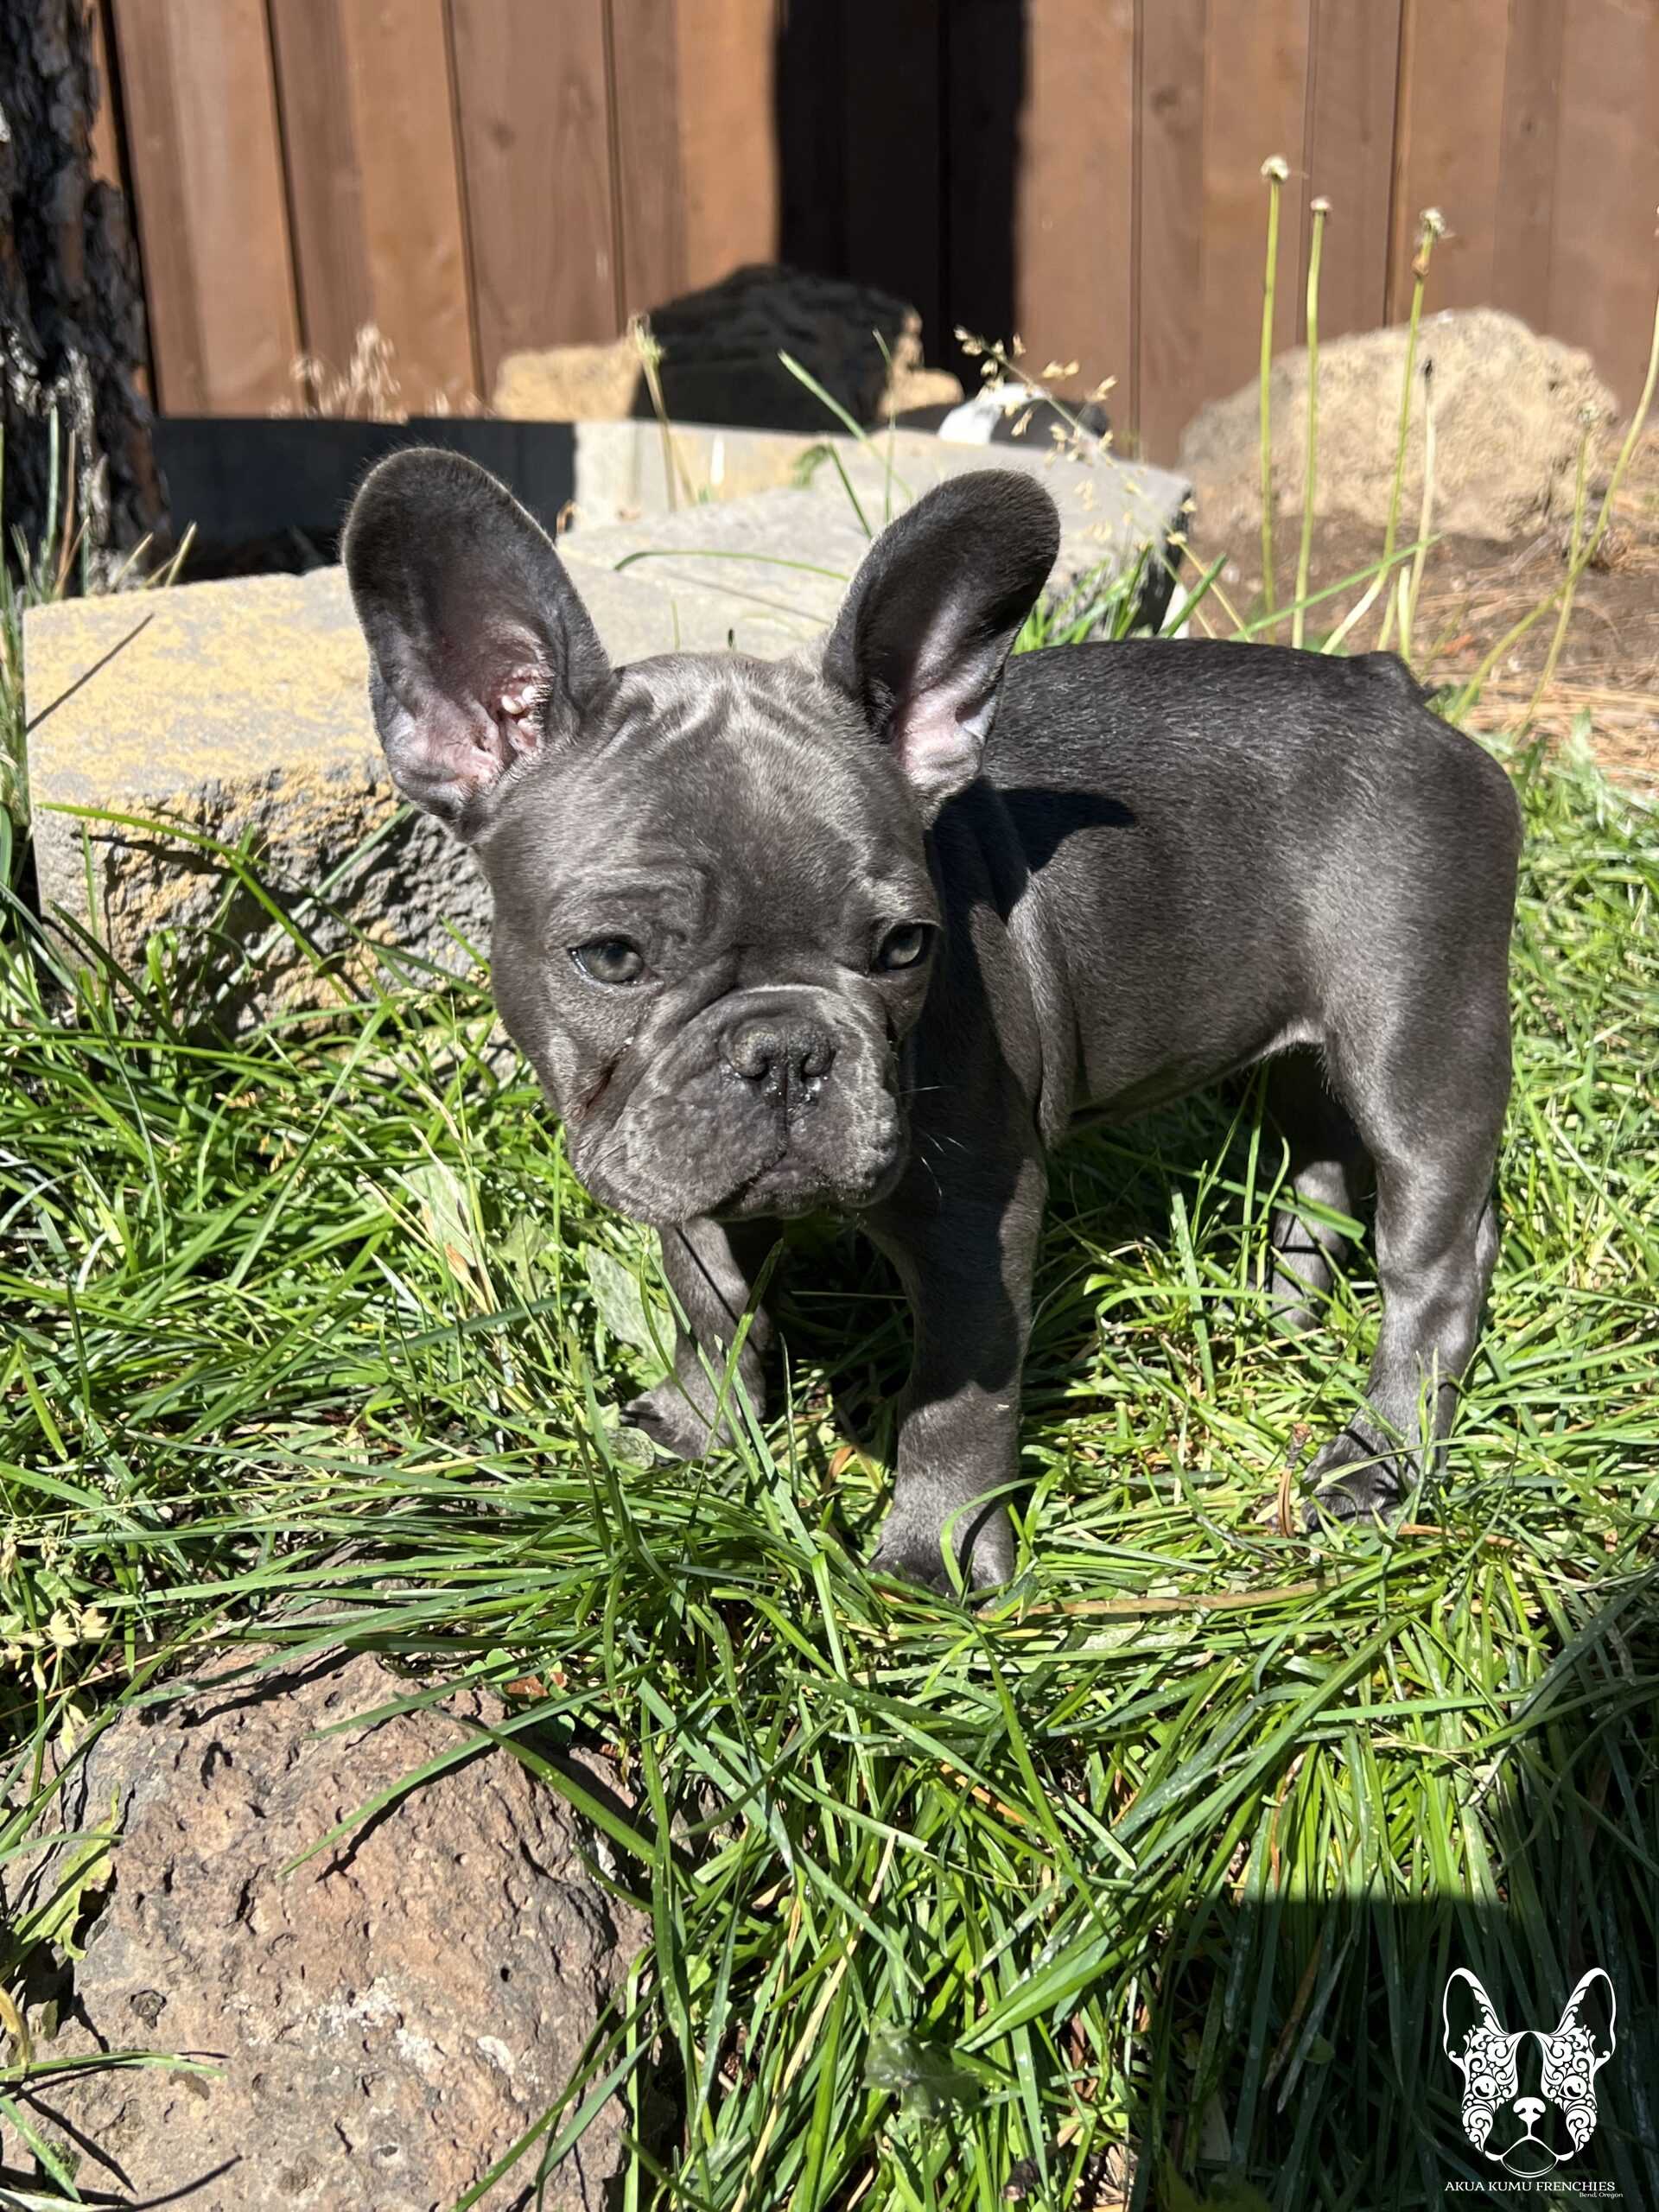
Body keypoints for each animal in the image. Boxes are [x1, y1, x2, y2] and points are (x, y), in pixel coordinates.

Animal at [345, 453, 1530, 1592]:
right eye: (612, 957)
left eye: (907, 947)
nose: (786, 1049)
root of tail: (1394, 690)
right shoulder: (677, 1175)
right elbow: (712, 1311)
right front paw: (696, 1428)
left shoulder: (977, 1219)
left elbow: (958, 1401)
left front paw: (936, 1561)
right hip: (1299, 1039)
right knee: (1319, 1156)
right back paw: (1283, 1306)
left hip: (1419, 1038)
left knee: (1435, 1263)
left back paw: (1376, 1459)